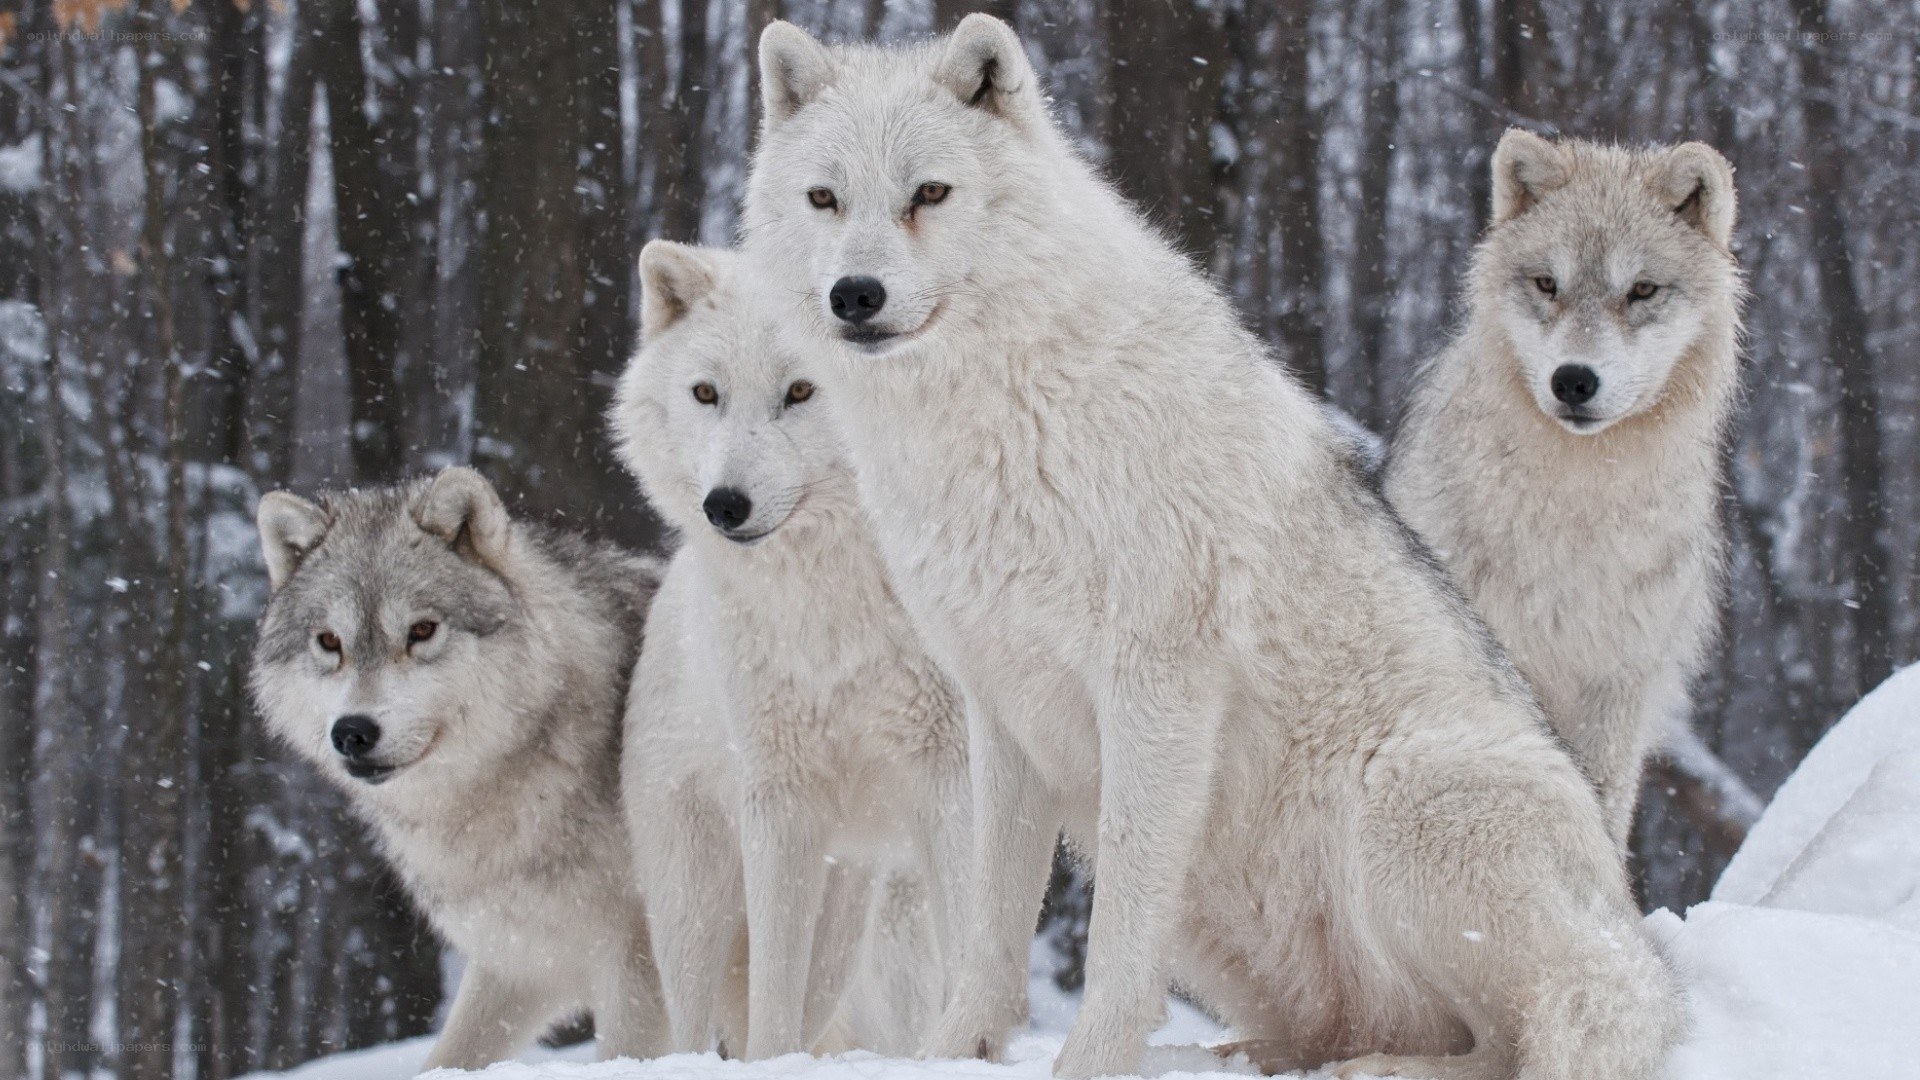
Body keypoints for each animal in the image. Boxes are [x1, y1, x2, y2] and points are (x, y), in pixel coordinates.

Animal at [250, 467, 668, 1071]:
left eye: (422, 631)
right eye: (329, 642)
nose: (353, 732)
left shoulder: (640, 960)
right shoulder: (519, 959)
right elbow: (450, 1056)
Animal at [612, 241, 969, 1060]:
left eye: (803, 390)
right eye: (705, 393)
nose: (724, 506)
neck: (837, 603)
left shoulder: (953, 773)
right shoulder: (778, 799)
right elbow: (773, 996)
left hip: (851, 913)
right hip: (695, 902)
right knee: (696, 1022)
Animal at [741, 16, 1682, 1080]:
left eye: (929, 194)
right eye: (825, 197)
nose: (854, 295)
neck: (1003, 416)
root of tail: (1635, 945)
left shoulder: (1157, 686)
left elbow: (1119, 925)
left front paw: (1091, 1064)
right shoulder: (999, 705)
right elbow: (989, 926)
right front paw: (955, 1055)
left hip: (1405, 795)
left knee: (1514, 1038)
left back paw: (1375, 1068)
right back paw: (1254, 1055)